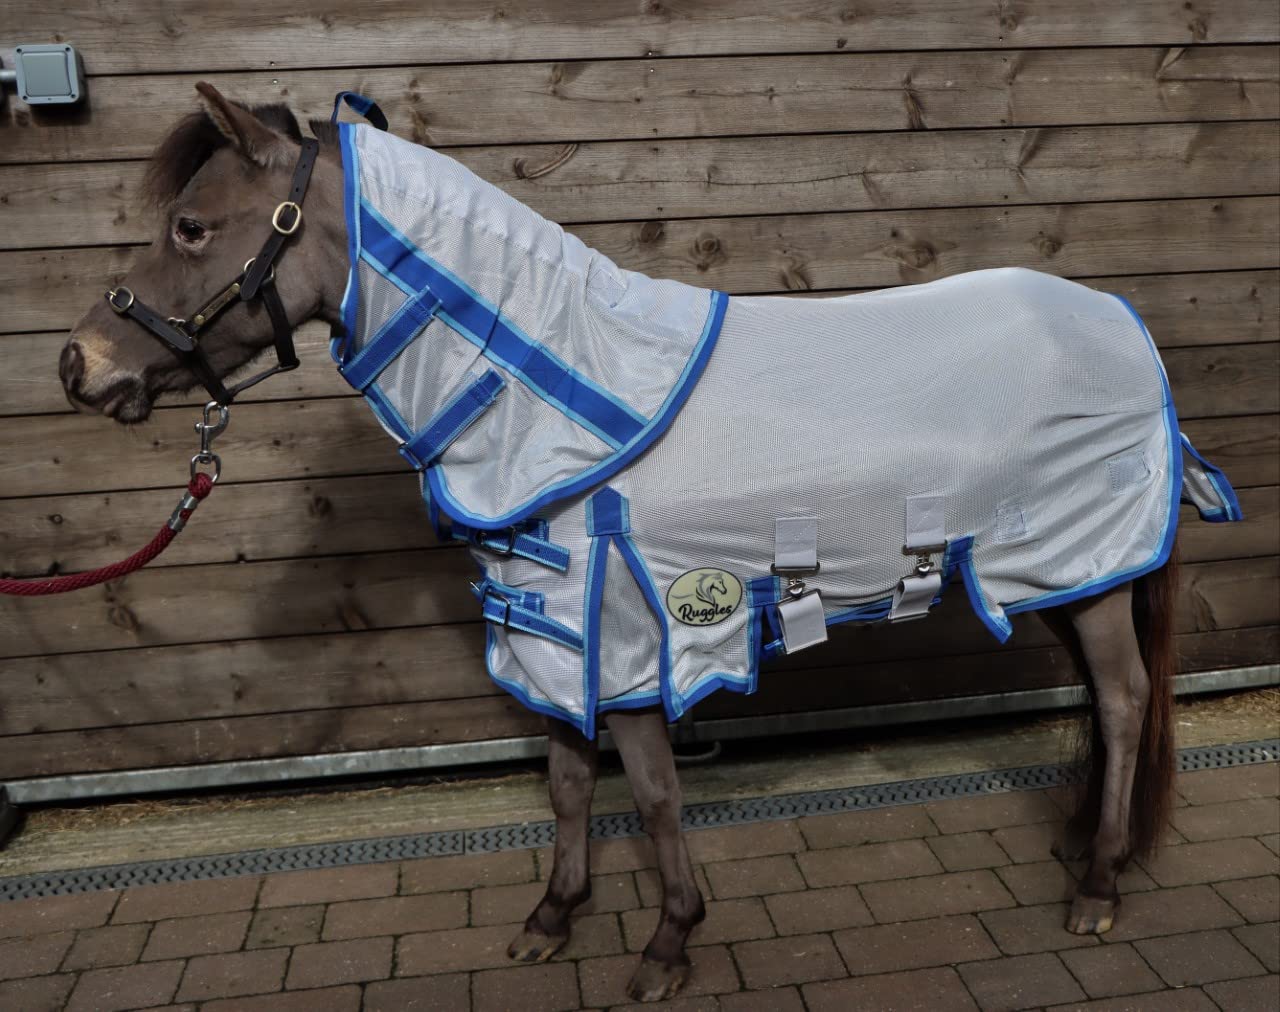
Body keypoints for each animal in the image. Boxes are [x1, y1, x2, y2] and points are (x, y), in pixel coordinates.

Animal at [60, 84, 1241, 1002]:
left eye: (192, 229)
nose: (79, 366)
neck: (566, 393)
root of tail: (1119, 324)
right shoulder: (549, 619)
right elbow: (567, 778)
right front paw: (552, 917)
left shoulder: (627, 622)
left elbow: (653, 785)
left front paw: (668, 943)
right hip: (1061, 575)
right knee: (1104, 698)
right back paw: (1084, 843)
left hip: (1085, 569)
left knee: (1125, 700)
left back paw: (1096, 887)